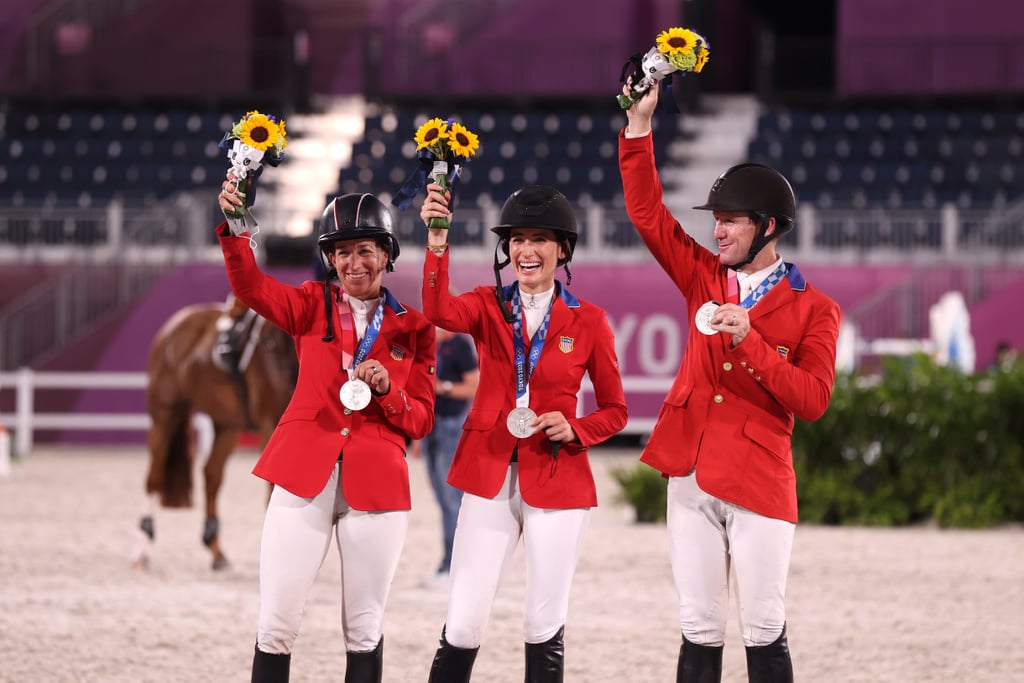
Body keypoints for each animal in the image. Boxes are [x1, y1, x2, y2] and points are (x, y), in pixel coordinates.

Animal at [132, 301, 296, 573]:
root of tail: (177, 323)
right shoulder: (270, 425)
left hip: (226, 424)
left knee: (212, 476)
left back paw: (216, 550)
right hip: (165, 415)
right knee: (154, 478)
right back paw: (142, 552)